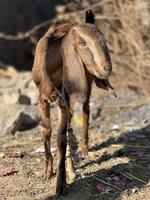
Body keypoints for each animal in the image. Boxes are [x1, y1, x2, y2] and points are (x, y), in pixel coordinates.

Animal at [32, 10, 115, 196]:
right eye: (82, 42)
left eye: (104, 40)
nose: (106, 68)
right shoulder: (42, 97)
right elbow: (47, 130)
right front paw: (48, 172)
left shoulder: (63, 99)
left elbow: (61, 137)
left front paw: (61, 184)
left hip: (86, 82)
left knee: (85, 111)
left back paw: (83, 149)